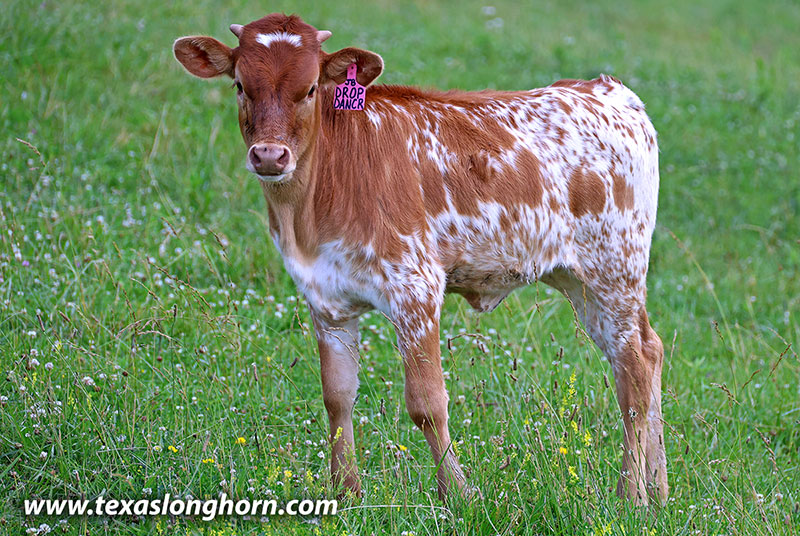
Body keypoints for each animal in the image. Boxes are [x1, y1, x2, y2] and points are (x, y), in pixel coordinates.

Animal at [173, 13, 667, 505]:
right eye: (240, 84)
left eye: (311, 88)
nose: (270, 155)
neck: (309, 212)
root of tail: (607, 90)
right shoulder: (325, 298)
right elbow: (337, 396)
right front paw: (346, 492)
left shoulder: (415, 288)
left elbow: (427, 404)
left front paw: (458, 495)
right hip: (579, 280)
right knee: (650, 348)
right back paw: (658, 491)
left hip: (614, 268)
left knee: (634, 370)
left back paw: (631, 495)